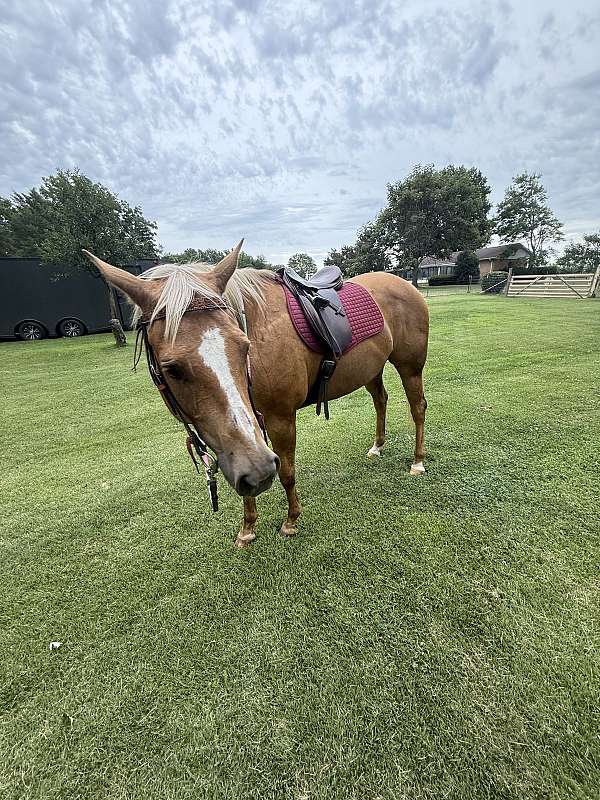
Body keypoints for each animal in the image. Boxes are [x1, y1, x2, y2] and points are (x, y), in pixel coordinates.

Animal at [83, 242, 429, 548]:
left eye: (244, 346)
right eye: (172, 368)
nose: (260, 472)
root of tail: (405, 283)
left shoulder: (280, 418)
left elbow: (287, 472)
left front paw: (291, 521)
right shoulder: (244, 431)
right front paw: (247, 528)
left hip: (409, 367)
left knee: (418, 408)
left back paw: (417, 462)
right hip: (372, 370)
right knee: (381, 400)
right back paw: (377, 446)